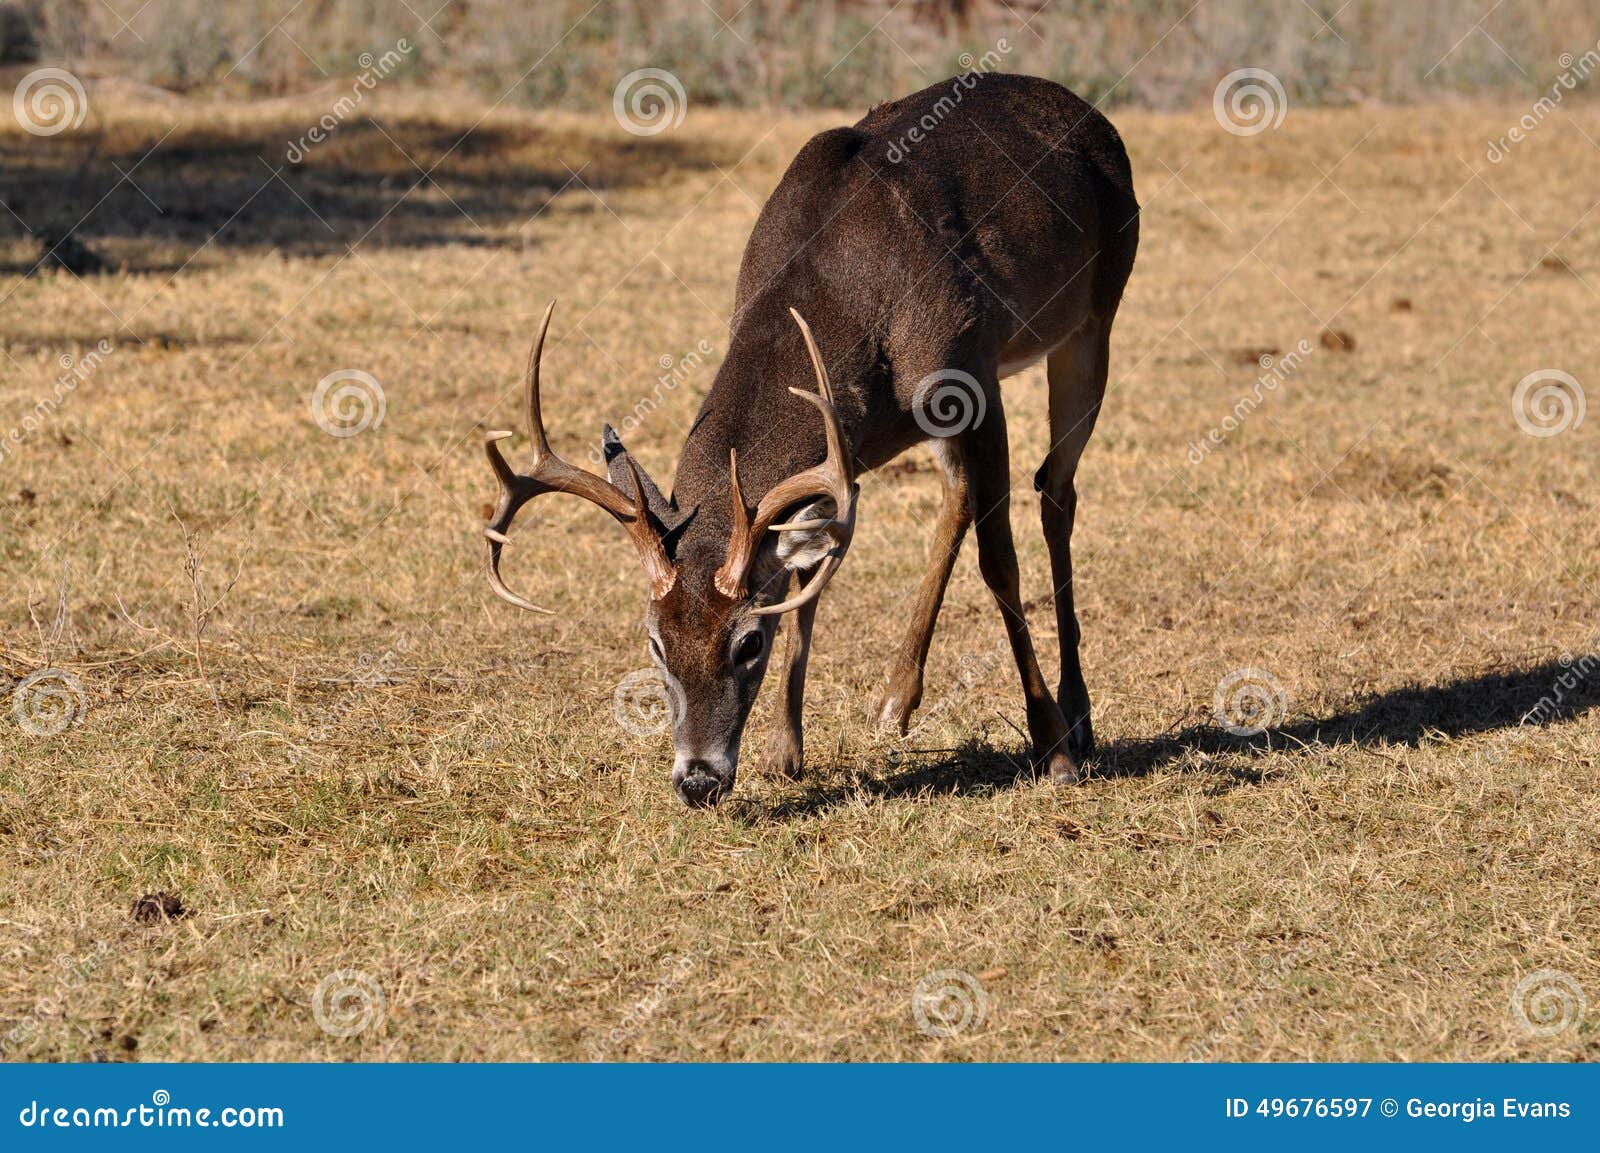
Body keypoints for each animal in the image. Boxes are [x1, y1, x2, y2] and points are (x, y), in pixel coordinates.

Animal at [481, 73, 1138, 807]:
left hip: (1094, 316)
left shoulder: (972, 375)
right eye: (655, 641)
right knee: (963, 493)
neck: (839, 294)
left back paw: (1076, 715)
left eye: (747, 643)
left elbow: (999, 562)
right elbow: (812, 570)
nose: (698, 779)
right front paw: (783, 749)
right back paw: (896, 699)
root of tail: (1090, 115)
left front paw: (1051, 748)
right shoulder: (844, 449)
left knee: (1055, 488)